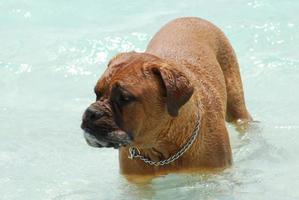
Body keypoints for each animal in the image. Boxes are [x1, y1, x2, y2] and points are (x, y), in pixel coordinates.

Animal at [81, 17, 252, 177]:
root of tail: (189, 17)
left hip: (236, 104)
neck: (161, 148)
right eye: (97, 93)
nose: (91, 112)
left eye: (124, 98)